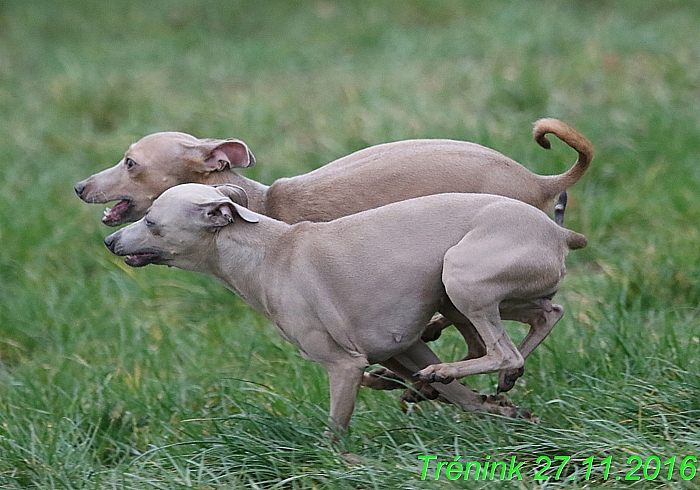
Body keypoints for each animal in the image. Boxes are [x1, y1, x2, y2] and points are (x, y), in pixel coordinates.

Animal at [104, 186, 584, 430]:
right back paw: (490, 380)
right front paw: (498, 409)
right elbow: (462, 398)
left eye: (151, 222)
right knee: (545, 315)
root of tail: (561, 233)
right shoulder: (403, 345)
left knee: (506, 350)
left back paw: (462, 370)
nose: (109, 240)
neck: (270, 253)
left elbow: (336, 429)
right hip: (464, 295)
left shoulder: (343, 365)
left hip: (461, 278)